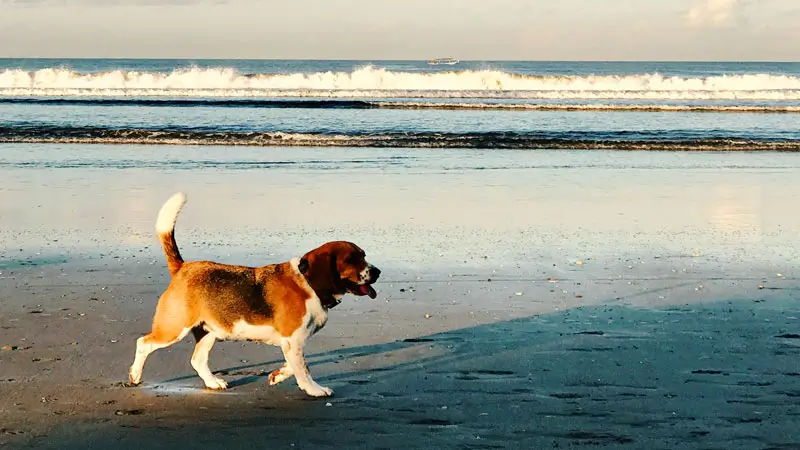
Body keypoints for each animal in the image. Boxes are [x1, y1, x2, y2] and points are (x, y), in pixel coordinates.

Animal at [127, 192, 382, 396]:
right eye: (351, 259)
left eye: (363, 255)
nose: (378, 272)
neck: (309, 284)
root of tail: (183, 267)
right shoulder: (292, 340)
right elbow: (304, 369)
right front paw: (314, 390)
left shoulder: (292, 342)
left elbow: (294, 365)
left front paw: (278, 375)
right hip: (174, 329)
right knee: (143, 343)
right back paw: (135, 375)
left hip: (210, 332)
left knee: (197, 360)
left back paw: (212, 382)